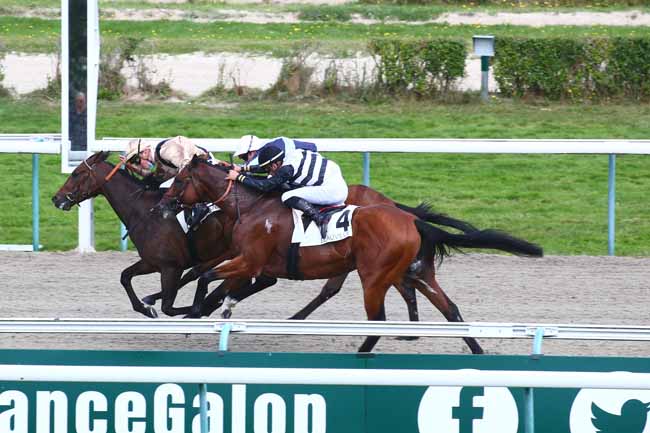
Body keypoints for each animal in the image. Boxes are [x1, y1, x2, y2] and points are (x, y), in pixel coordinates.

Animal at [52, 151, 477, 328]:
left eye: (77, 174)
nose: (58, 198)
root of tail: (390, 204)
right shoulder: (157, 262)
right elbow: (127, 278)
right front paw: (152, 304)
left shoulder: (171, 265)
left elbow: (174, 297)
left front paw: (172, 308)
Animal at [155, 156, 543, 353]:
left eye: (179, 180)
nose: (162, 205)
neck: (252, 206)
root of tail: (411, 220)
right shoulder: (255, 264)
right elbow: (215, 280)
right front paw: (208, 310)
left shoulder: (251, 260)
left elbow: (207, 276)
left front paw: (193, 312)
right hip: (418, 272)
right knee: (451, 311)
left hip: (374, 277)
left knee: (376, 321)